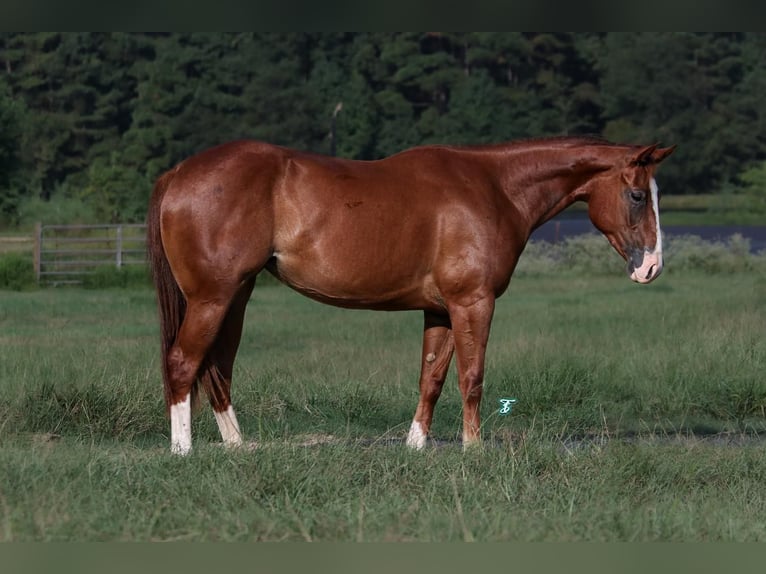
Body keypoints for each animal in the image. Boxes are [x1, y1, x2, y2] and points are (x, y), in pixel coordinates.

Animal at [147, 135, 676, 454]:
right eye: (637, 195)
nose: (651, 267)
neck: (494, 188)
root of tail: (178, 173)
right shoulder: (472, 302)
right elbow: (472, 377)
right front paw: (473, 449)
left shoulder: (439, 310)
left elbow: (432, 378)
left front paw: (416, 446)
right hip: (213, 298)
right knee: (183, 363)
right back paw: (183, 450)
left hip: (235, 298)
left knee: (216, 368)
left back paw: (238, 448)